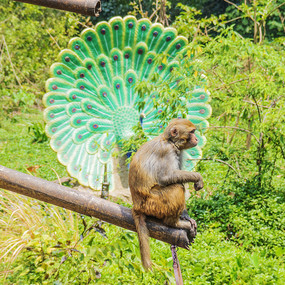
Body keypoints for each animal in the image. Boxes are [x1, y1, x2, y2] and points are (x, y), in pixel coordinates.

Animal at [127, 117, 203, 268]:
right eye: (192, 132)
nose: (196, 138)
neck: (170, 141)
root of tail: (137, 205)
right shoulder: (167, 151)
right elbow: (166, 177)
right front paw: (197, 177)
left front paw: (186, 216)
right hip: (154, 203)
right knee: (177, 186)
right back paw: (174, 223)